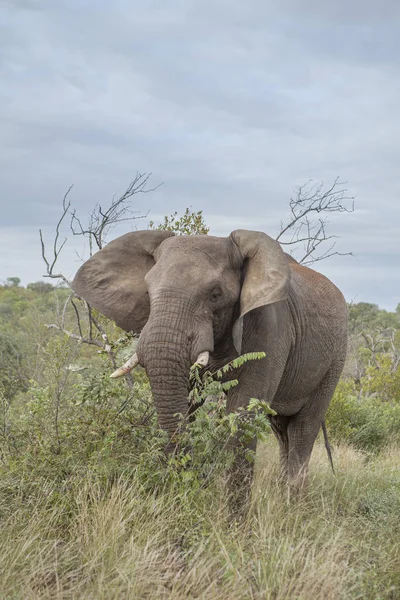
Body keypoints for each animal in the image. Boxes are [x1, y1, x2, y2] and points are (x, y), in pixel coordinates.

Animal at [72, 227, 346, 494]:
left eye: (215, 294)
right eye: (148, 292)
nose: (184, 482)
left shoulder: (270, 327)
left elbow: (243, 412)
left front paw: (232, 511)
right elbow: (189, 402)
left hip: (336, 359)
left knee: (302, 428)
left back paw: (292, 501)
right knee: (281, 430)